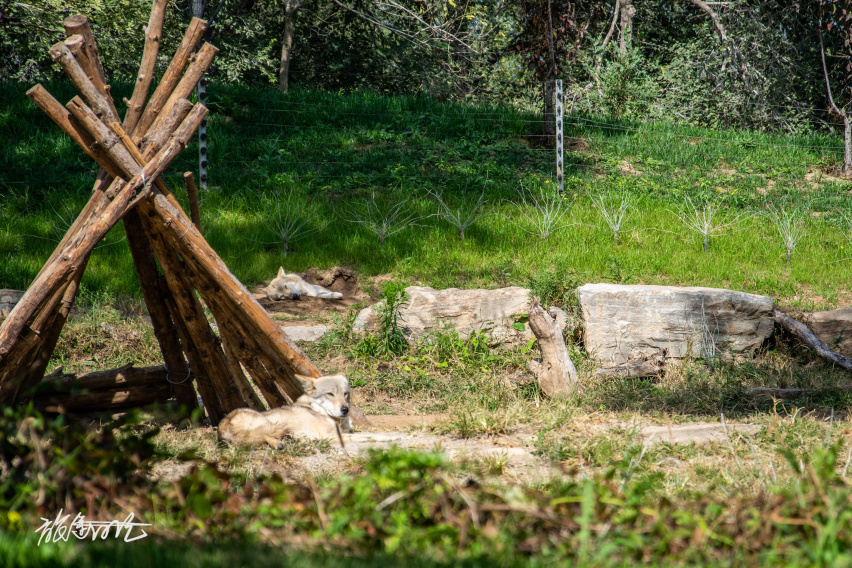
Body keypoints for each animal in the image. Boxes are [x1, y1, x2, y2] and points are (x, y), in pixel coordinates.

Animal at [221, 374, 354, 450]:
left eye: (345, 394)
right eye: (330, 394)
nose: (345, 409)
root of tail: (221, 430)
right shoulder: (329, 436)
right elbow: (359, 436)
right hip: (268, 421)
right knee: (266, 435)